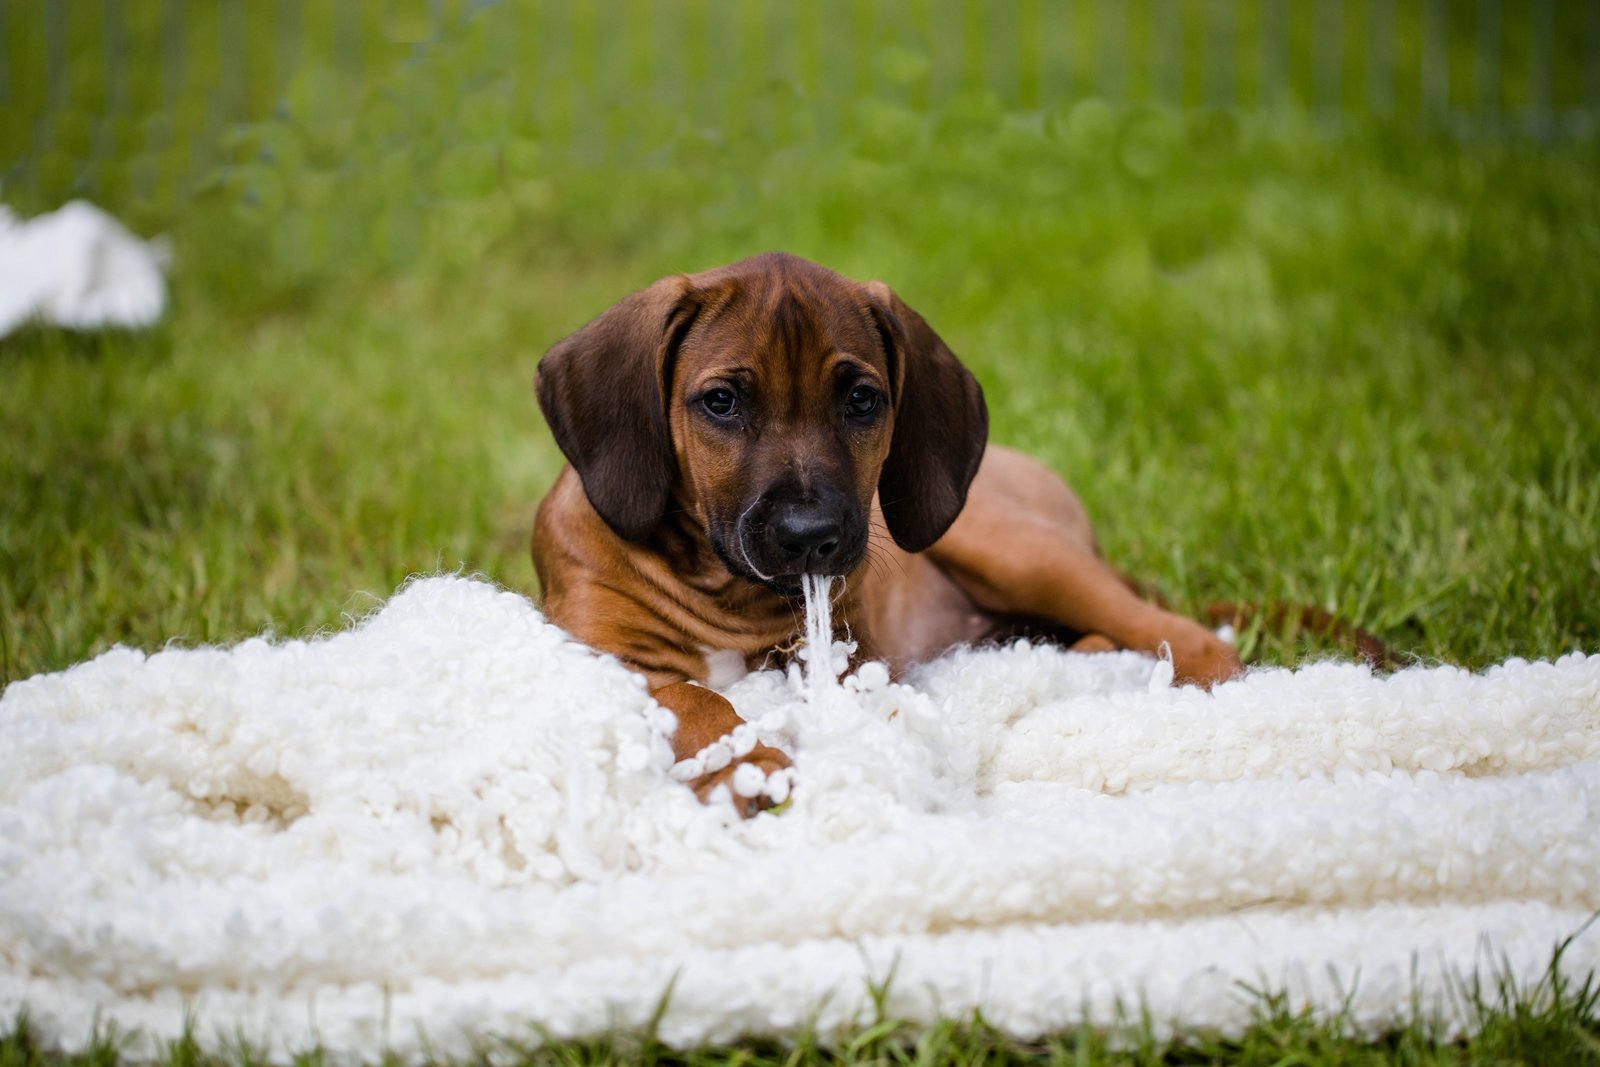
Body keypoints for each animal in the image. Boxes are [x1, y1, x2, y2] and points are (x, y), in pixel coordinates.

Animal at [533, 253, 1243, 816]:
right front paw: (744, 764)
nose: (810, 537)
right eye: (722, 402)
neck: (720, 587)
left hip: (1010, 548)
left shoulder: (838, 654)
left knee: (1169, 627)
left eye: (861, 400)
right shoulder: (602, 655)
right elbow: (690, 694)